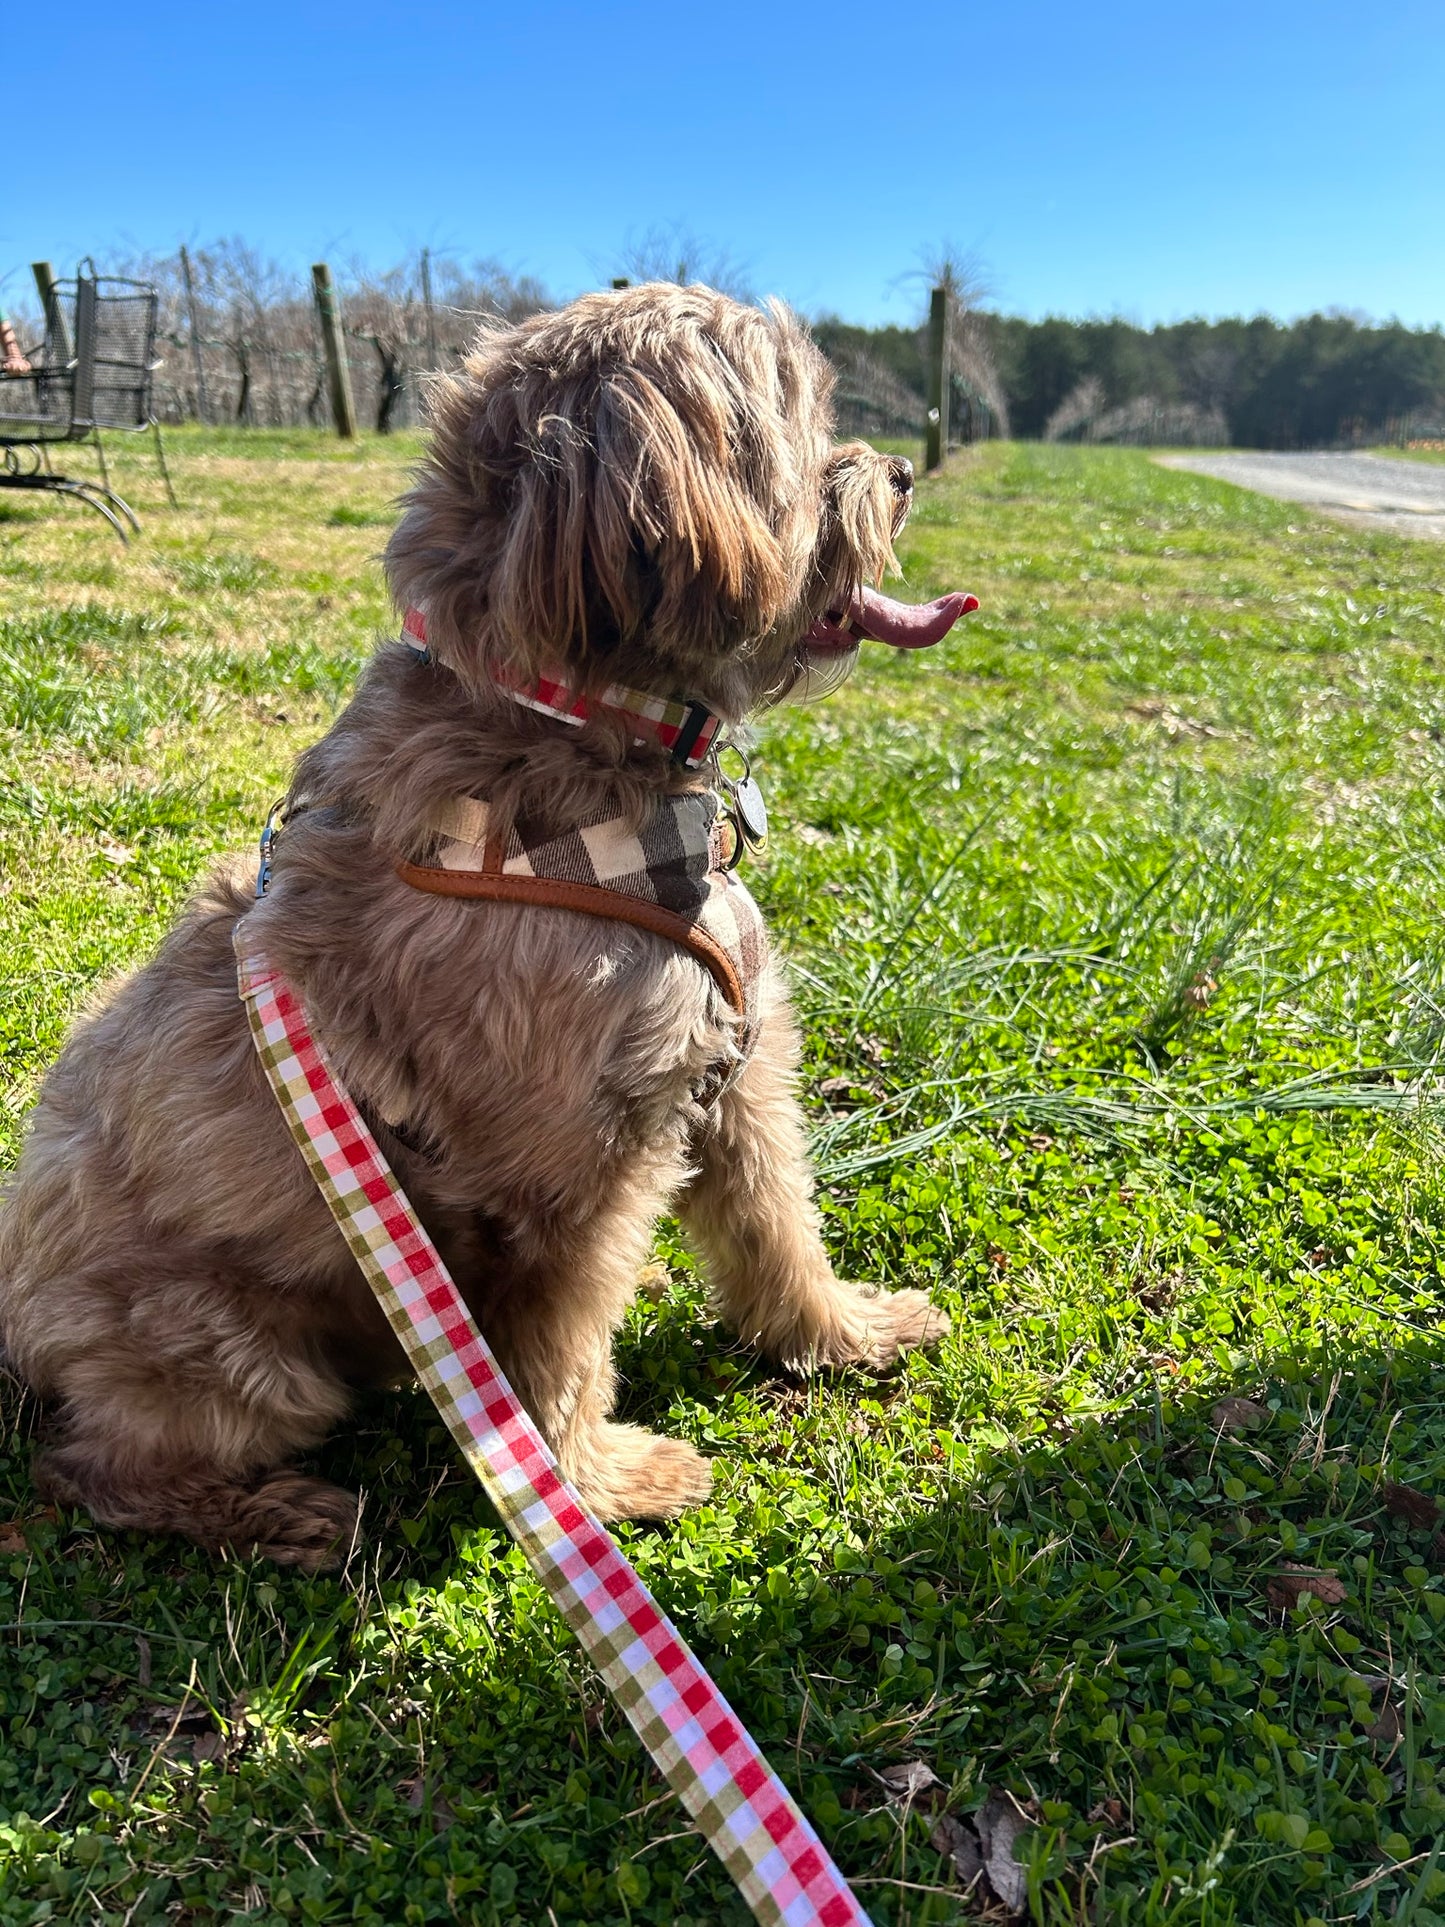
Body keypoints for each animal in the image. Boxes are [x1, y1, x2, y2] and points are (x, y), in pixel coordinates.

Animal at [0, 285, 955, 1564]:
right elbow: (560, 1353)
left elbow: (777, 1226)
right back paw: (279, 1513)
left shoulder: (735, 1074)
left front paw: (845, 1330)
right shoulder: (573, 1173)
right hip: (244, 1351)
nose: (899, 471)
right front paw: (596, 1485)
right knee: (95, 1468)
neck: (572, 724)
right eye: (794, 417)